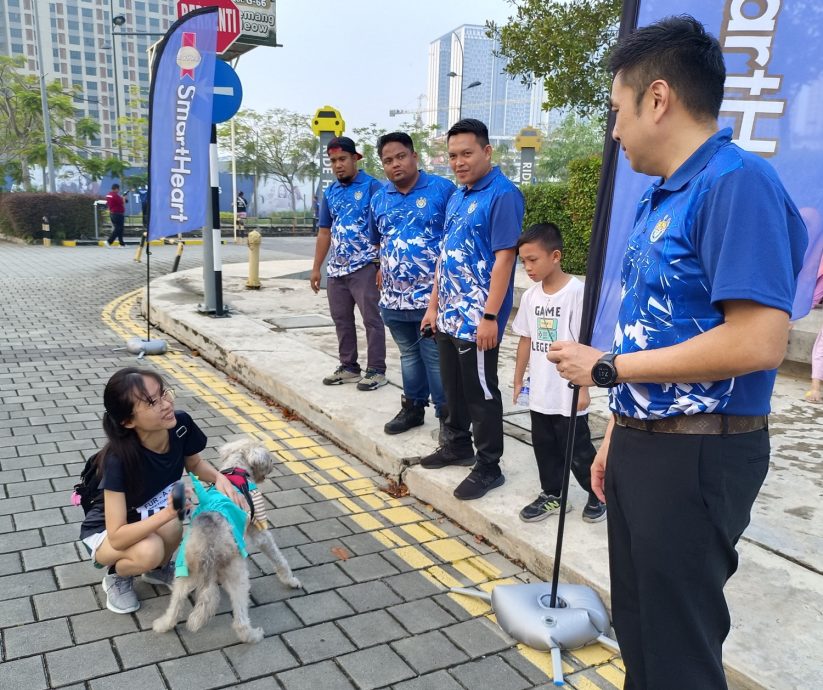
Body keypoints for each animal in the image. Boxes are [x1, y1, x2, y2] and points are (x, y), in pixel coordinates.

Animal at [153, 438, 300, 644]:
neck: (236, 469)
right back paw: (253, 635)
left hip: (183, 574)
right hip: (237, 573)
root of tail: (207, 550)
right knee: (240, 619)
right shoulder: (259, 529)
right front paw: (291, 580)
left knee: (174, 607)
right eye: (269, 458)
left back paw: (162, 624)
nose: (272, 466)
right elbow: (278, 557)